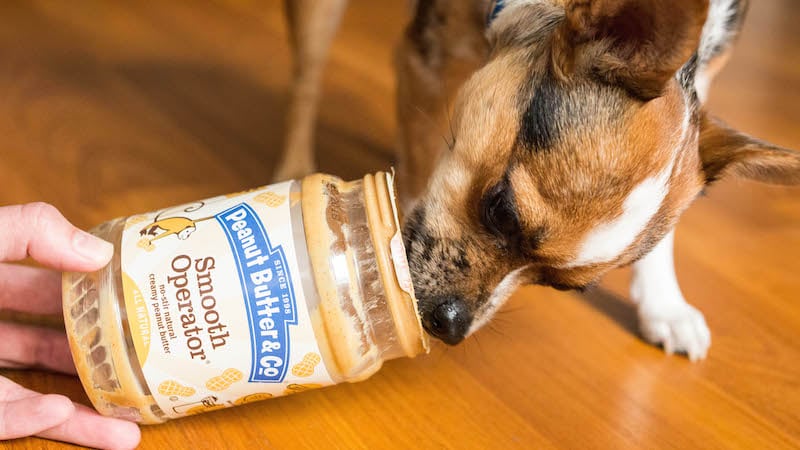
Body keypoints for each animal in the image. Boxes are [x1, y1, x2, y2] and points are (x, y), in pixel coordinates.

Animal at [272, 0, 796, 360]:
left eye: (562, 288)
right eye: (502, 209)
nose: (449, 326)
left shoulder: (705, 82)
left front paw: (663, 304)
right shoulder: (426, 59)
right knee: (306, 80)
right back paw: (295, 171)